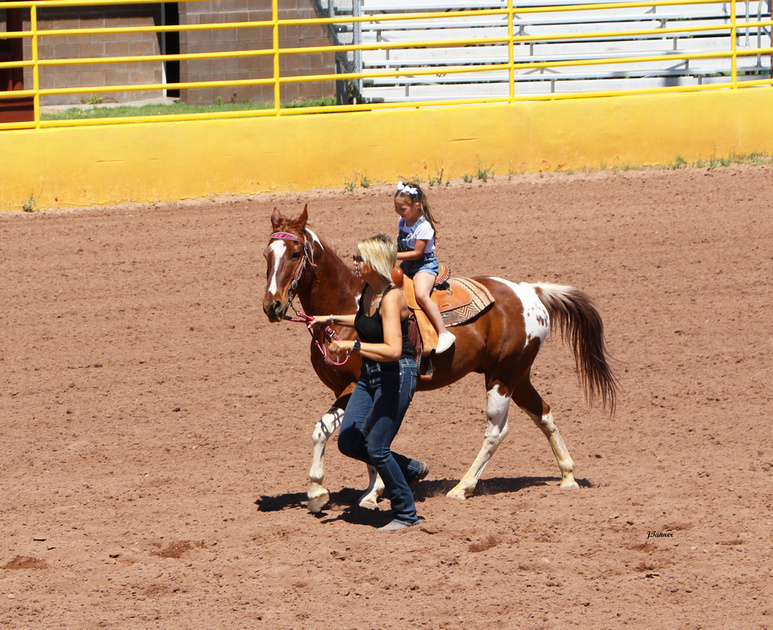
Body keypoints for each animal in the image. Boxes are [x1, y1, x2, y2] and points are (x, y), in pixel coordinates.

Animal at [262, 207, 620, 512]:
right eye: (267, 254)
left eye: (295, 254)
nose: (272, 306)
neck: (348, 305)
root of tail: (530, 291)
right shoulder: (348, 390)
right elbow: (353, 434)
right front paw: (369, 491)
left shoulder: (352, 387)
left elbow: (329, 432)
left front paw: (320, 491)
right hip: (517, 375)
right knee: (543, 413)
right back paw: (568, 475)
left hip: (502, 378)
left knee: (495, 431)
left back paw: (463, 487)